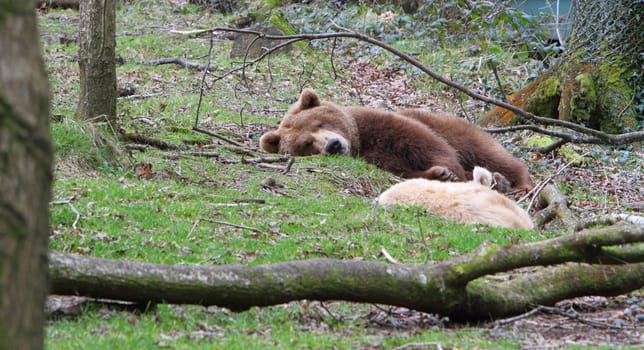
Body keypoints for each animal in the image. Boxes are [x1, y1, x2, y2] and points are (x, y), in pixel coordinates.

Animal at [260, 87, 536, 191]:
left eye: (320, 123)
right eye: (306, 144)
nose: (334, 145)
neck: (361, 142)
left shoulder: (386, 126)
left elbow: (426, 144)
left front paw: (451, 171)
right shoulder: (378, 159)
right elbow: (404, 171)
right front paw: (441, 174)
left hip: (455, 129)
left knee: (489, 154)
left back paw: (513, 181)